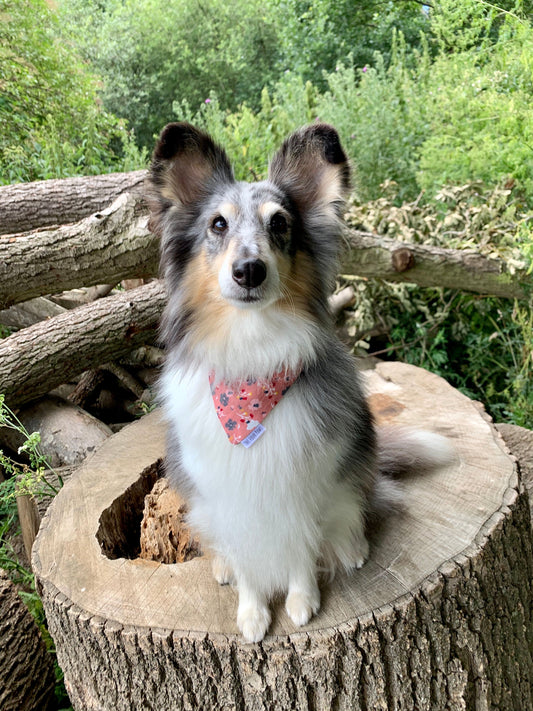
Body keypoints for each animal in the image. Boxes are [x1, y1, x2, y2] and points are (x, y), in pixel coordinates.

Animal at [147, 124, 454, 644]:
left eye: (280, 224)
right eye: (218, 225)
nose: (249, 270)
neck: (252, 359)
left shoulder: (305, 483)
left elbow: (301, 549)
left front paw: (301, 599)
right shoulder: (227, 493)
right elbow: (248, 558)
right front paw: (252, 612)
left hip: (352, 473)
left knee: (355, 508)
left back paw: (351, 547)